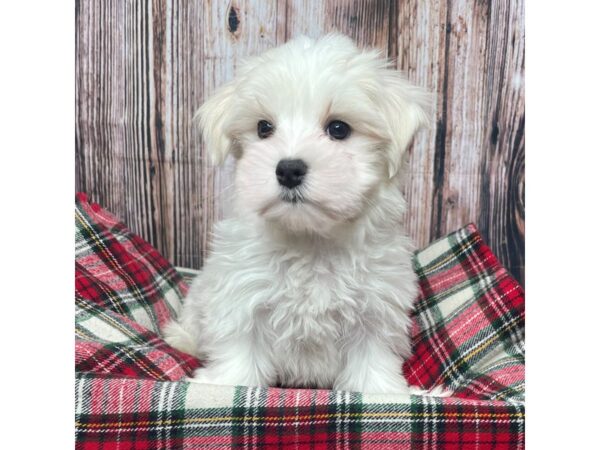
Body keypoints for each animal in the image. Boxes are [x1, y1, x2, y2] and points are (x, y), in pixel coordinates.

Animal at [164, 34, 432, 394]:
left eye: (338, 128)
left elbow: (371, 365)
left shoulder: (375, 310)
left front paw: (386, 392)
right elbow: (239, 356)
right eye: (264, 128)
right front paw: (223, 386)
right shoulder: (241, 298)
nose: (288, 169)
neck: (310, 240)